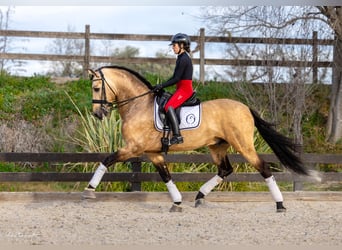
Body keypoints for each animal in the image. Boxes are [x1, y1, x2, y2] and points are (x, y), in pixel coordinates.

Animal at [82, 65, 310, 213]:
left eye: (96, 88)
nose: (97, 114)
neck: (138, 105)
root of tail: (245, 107)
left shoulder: (133, 148)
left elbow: (106, 160)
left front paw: (89, 190)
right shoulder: (153, 153)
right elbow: (166, 176)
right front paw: (176, 202)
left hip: (243, 145)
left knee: (263, 168)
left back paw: (280, 205)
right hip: (217, 147)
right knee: (225, 170)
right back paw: (200, 196)